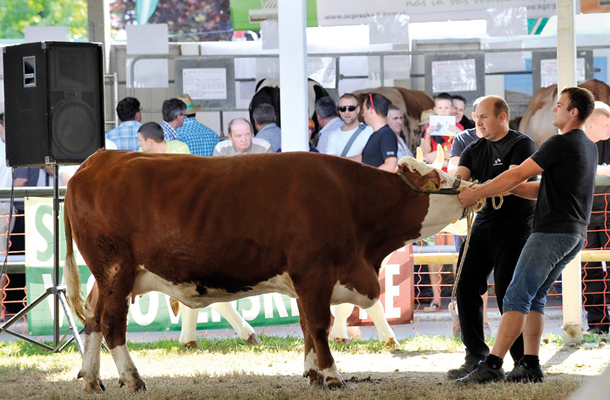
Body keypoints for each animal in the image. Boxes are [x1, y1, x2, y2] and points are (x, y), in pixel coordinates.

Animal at [64, 149, 472, 390]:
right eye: (436, 179)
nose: (470, 188)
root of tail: (98, 159)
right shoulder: (315, 271)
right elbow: (320, 325)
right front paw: (331, 375)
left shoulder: (305, 279)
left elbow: (307, 325)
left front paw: (311, 373)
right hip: (117, 269)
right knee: (112, 324)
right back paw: (132, 379)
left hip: (106, 277)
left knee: (94, 319)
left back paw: (91, 378)